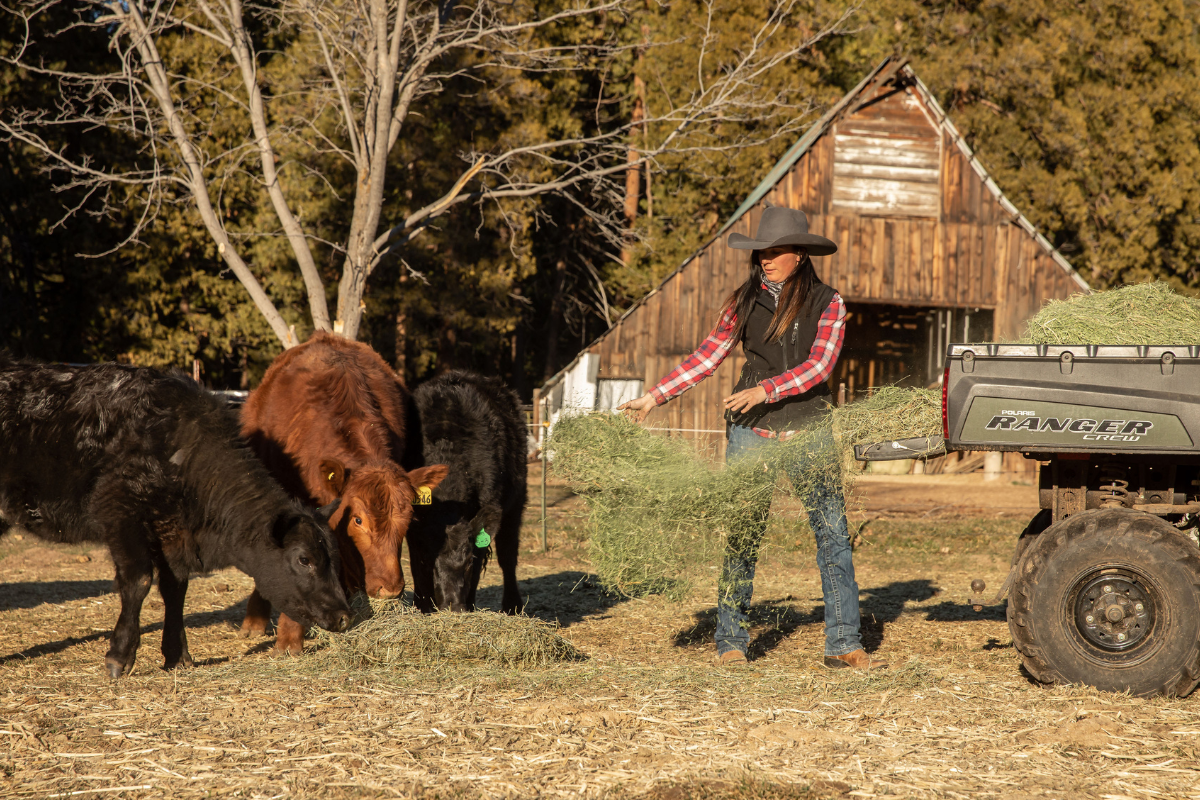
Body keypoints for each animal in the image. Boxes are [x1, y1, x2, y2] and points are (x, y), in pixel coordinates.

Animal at [0, 357, 352, 678]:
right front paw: (120, 655)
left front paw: (176, 654)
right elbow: (139, 581)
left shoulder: (173, 535)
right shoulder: (121, 515)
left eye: (335, 555)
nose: (344, 616)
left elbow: (175, 590)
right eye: (304, 559)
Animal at [404, 370, 527, 613]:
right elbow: (415, 567)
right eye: (430, 560)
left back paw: (513, 605)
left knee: (508, 557)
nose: (453, 606)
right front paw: (421, 606)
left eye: (468, 562)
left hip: (516, 503)